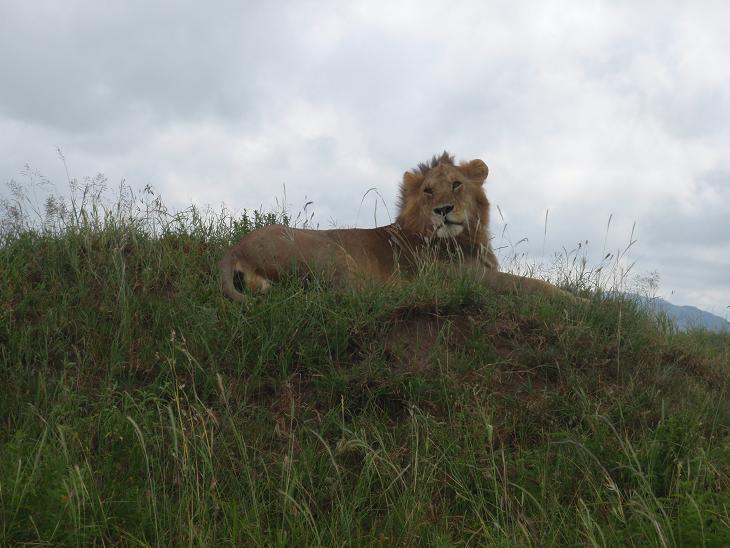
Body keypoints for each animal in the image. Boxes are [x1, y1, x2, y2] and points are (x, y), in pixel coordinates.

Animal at [219, 152, 572, 302]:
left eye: (456, 184)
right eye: (428, 191)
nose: (443, 210)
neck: (469, 238)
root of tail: (235, 248)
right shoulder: (472, 278)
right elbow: (536, 285)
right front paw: (582, 302)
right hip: (334, 253)